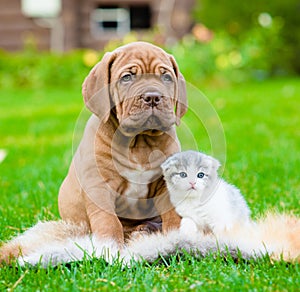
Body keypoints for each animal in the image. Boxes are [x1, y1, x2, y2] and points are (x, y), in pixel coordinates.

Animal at [57, 42, 186, 245]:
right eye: (127, 77)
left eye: (166, 77)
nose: (152, 96)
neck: (139, 142)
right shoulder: (99, 185)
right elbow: (108, 220)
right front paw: (109, 246)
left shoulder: (167, 181)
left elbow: (173, 212)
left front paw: (175, 236)